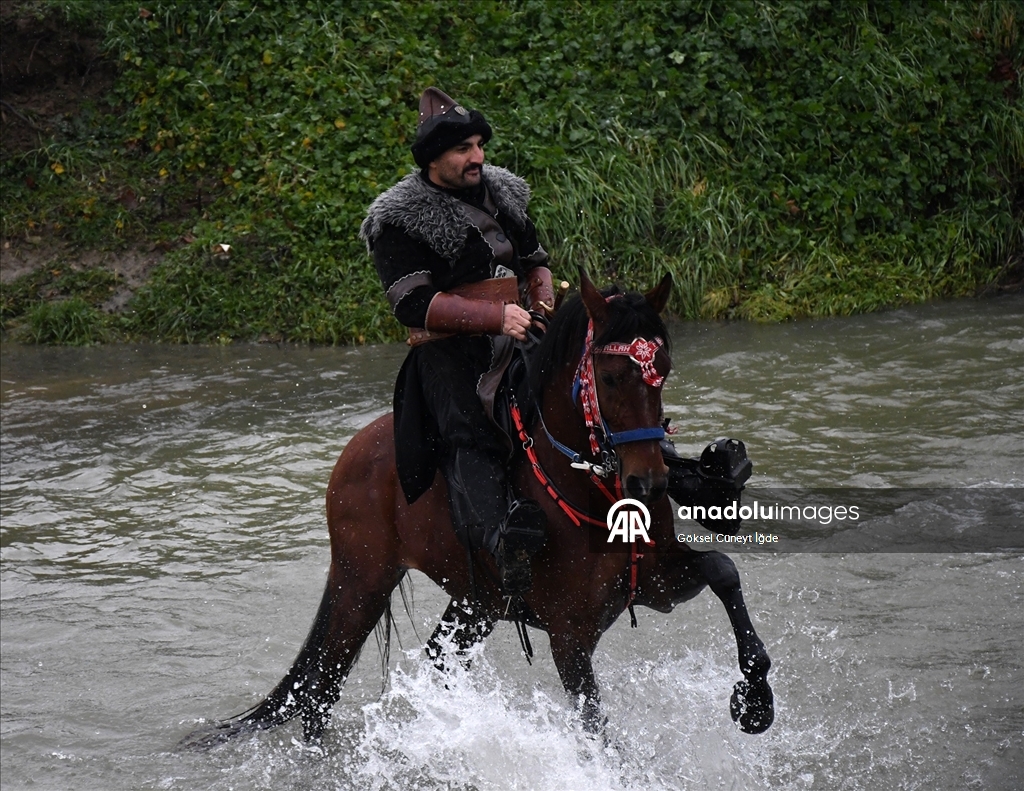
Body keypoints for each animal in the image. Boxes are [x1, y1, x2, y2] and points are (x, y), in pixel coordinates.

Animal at [186, 271, 774, 746]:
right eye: (609, 378)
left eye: (663, 371)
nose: (648, 482)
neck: (588, 487)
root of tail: (351, 452)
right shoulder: (571, 638)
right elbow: (595, 731)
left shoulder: (655, 586)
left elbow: (722, 569)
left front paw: (754, 697)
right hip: (363, 584)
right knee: (320, 690)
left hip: (476, 603)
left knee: (431, 663)